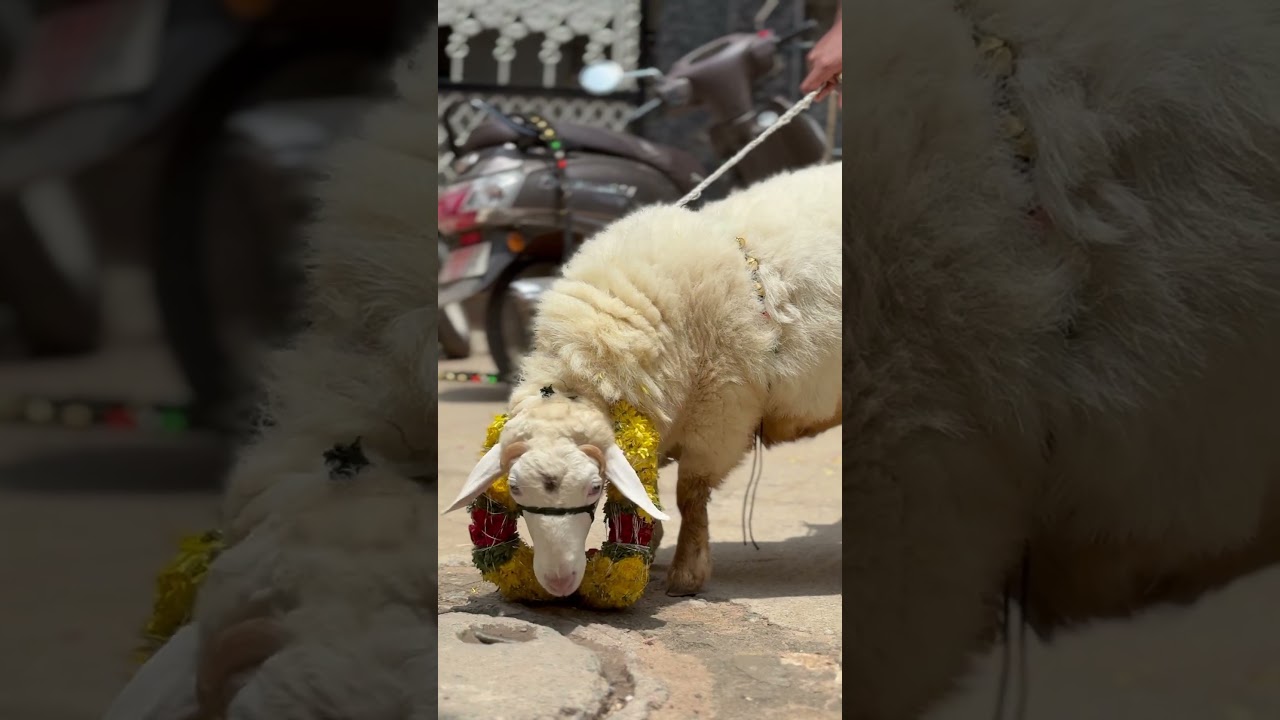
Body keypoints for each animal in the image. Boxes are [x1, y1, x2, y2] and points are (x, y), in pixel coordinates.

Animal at [444, 161, 842, 598]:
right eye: (514, 489)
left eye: (594, 487)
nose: (557, 581)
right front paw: (647, 548)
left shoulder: (721, 418)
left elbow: (690, 496)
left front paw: (686, 574)